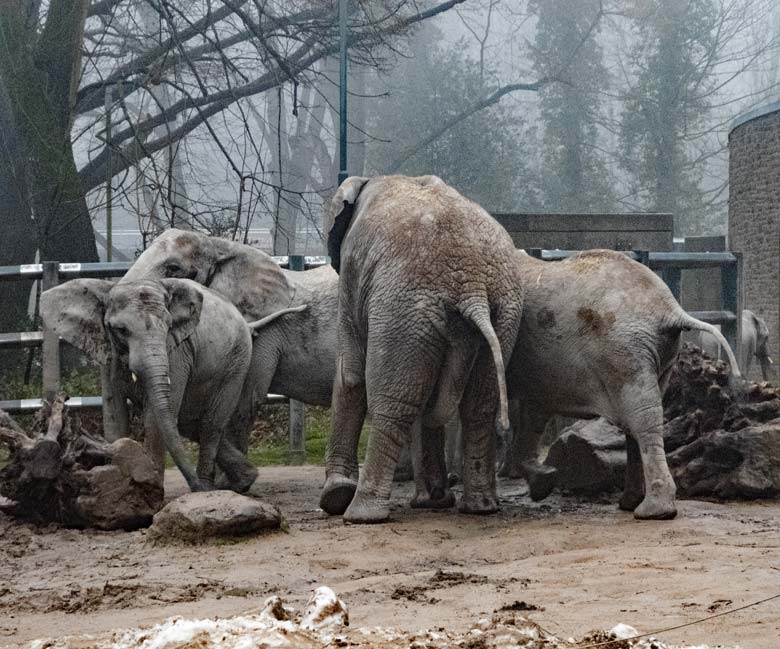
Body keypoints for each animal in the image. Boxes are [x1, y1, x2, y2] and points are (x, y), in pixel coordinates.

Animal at [316, 175, 524, 524]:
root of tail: (473, 288)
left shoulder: (351, 274)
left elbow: (350, 375)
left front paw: (334, 496)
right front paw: (435, 501)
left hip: (403, 308)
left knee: (393, 404)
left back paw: (360, 515)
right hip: (501, 310)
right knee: (479, 407)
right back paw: (478, 507)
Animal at [496, 251, 740, 520]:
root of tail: (671, 309)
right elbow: (535, 409)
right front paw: (541, 483)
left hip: (623, 349)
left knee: (642, 418)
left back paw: (653, 511)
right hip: (655, 352)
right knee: (640, 418)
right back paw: (630, 503)